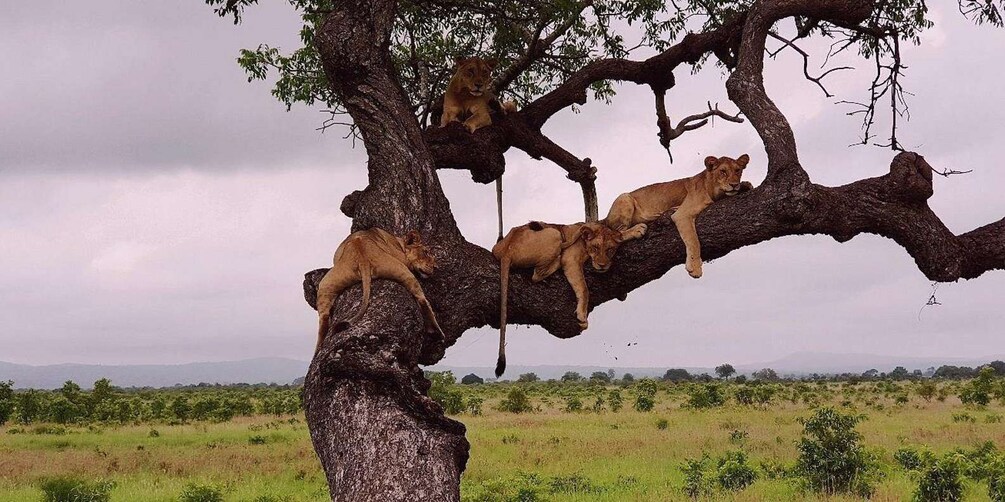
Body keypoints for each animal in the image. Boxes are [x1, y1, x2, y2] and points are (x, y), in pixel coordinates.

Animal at [314, 228, 444, 353]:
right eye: (426, 252)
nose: (436, 267)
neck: (399, 243)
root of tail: (362, 255)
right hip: (403, 269)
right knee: (422, 299)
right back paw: (437, 332)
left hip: (326, 283)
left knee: (323, 318)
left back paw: (318, 348)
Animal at [491, 220, 647, 376]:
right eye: (595, 248)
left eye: (610, 250)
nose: (602, 265)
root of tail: (506, 251)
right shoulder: (571, 259)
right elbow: (584, 289)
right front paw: (582, 316)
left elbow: (618, 233)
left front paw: (634, 230)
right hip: (553, 233)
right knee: (537, 274)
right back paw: (558, 257)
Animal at [603, 154, 752, 279]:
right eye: (723, 171)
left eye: (738, 170)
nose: (734, 184)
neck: (712, 189)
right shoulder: (682, 214)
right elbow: (694, 241)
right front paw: (695, 268)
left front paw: (746, 185)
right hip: (625, 197)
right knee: (615, 233)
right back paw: (637, 229)